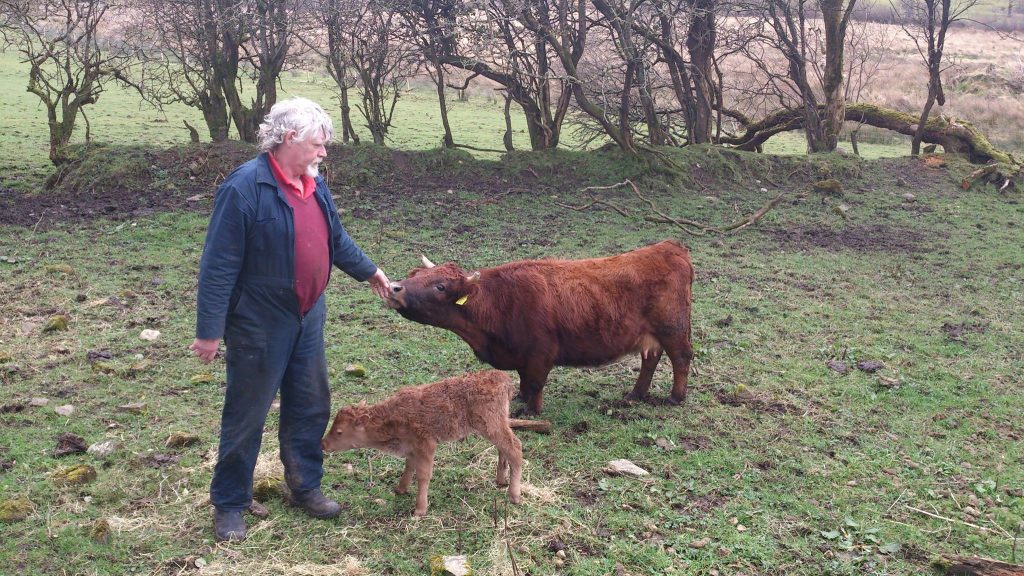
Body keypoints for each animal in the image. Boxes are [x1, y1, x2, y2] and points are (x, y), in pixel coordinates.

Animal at [323, 368, 524, 512]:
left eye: (339, 432)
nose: (323, 444)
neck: (392, 417)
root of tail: (503, 378)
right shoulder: (411, 447)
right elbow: (409, 466)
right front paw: (400, 489)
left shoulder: (426, 445)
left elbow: (423, 474)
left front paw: (419, 510)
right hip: (497, 425)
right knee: (503, 448)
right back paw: (501, 480)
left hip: (491, 426)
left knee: (515, 448)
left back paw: (514, 496)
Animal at [385, 238, 696, 412]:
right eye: (415, 274)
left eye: (440, 286)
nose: (395, 288)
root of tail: (669, 247)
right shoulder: (523, 356)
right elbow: (524, 381)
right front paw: (520, 399)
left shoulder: (540, 352)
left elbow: (535, 384)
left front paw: (531, 412)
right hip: (651, 335)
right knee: (650, 359)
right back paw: (636, 394)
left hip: (673, 329)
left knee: (681, 358)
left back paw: (675, 398)